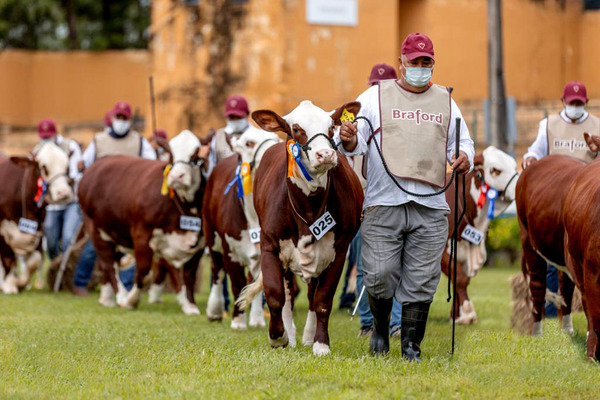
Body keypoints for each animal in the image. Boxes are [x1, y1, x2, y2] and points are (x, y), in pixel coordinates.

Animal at [0, 144, 73, 294]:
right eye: (43, 167)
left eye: (67, 167)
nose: (64, 193)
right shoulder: (3, 231)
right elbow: (8, 259)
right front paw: (9, 284)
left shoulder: (38, 229)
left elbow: (35, 260)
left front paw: (20, 282)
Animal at [78, 130, 205, 314]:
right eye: (170, 155)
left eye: (195, 155)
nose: (177, 176)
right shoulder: (141, 235)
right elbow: (144, 273)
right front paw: (131, 300)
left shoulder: (199, 243)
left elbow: (187, 275)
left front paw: (189, 305)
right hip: (96, 230)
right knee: (108, 263)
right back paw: (121, 296)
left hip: (115, 230)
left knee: (106, 264)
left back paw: (106, 298)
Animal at [204, 127, 282, 328]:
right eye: (249, 143)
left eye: (277, 139)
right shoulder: (231, 251)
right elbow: (237, 283)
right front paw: (238, 322)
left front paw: (257, 319)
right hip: (211, 235)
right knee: (217, 270)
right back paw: (214, 310)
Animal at [237, 100, 364, 356]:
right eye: (296, 129)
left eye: (331, 127)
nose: (325, 154)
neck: (309, 207)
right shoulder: (269, 245)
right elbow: (275, 295)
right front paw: (278, 337)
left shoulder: (339, 251)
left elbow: (323, 300)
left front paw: (321, 344)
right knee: (287, 294)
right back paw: (291, 335)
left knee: (312, 294)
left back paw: (306, 336)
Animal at [440, 147, 520, 324]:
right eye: (495, 170)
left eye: (513, 166)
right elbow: (460, 278)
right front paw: (467, 313)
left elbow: (460, 279)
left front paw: (455, 316)